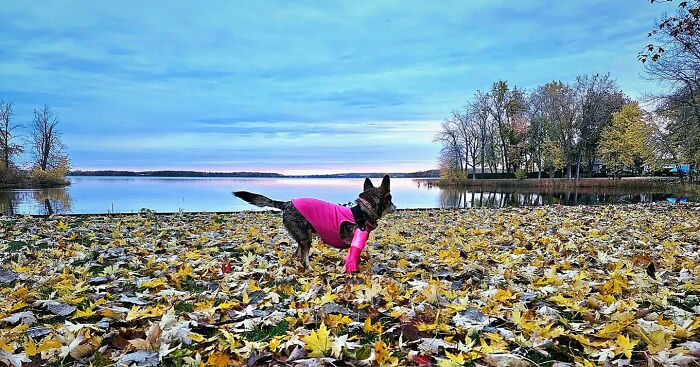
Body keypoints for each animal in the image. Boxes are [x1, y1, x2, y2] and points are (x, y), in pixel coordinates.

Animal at [234, 175, 394, 274]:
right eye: (390, 199)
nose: (395, 207)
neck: (362, 211)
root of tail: (286, 204)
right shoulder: (355, 242)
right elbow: (355, 257)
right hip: (306, 239)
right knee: (303, 259)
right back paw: (310, 270)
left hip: (303, 238)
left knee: (296, 255)